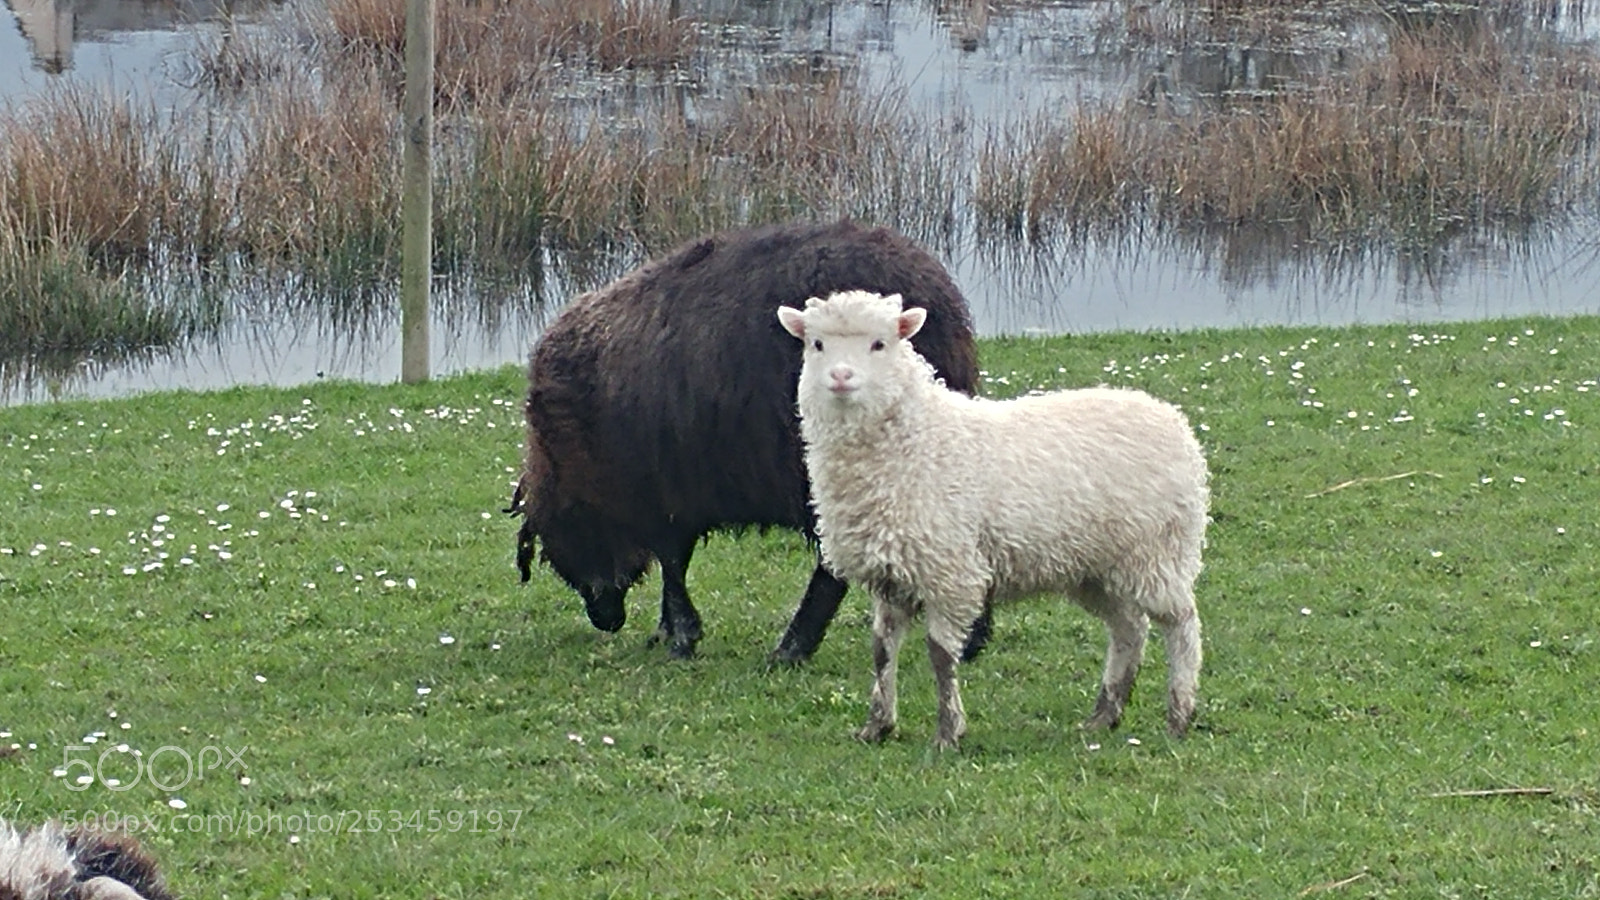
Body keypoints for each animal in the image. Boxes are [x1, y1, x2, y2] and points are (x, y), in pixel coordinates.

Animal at [508, 220, 992, 663]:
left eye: (566, 527)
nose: (605, 619)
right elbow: (675, 562)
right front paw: (667, 631)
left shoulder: (662, 492)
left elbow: (672, 563)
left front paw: (681, 636)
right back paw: (968, 637)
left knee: (830, 571)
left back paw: (792, 649)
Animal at [777, 290, 1210, 748]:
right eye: (817, 344)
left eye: (880, 344)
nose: (841, 377)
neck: (917, 440)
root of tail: (1171, 417)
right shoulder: (892, 575)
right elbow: (881, 649)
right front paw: (877, 725)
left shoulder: (950, 572)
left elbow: (940, 655)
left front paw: (948, 731)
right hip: (1096, 566)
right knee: (1129, 629)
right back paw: (1105, 714)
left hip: (1158, 551)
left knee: (1181, 625)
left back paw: (1180, 713)